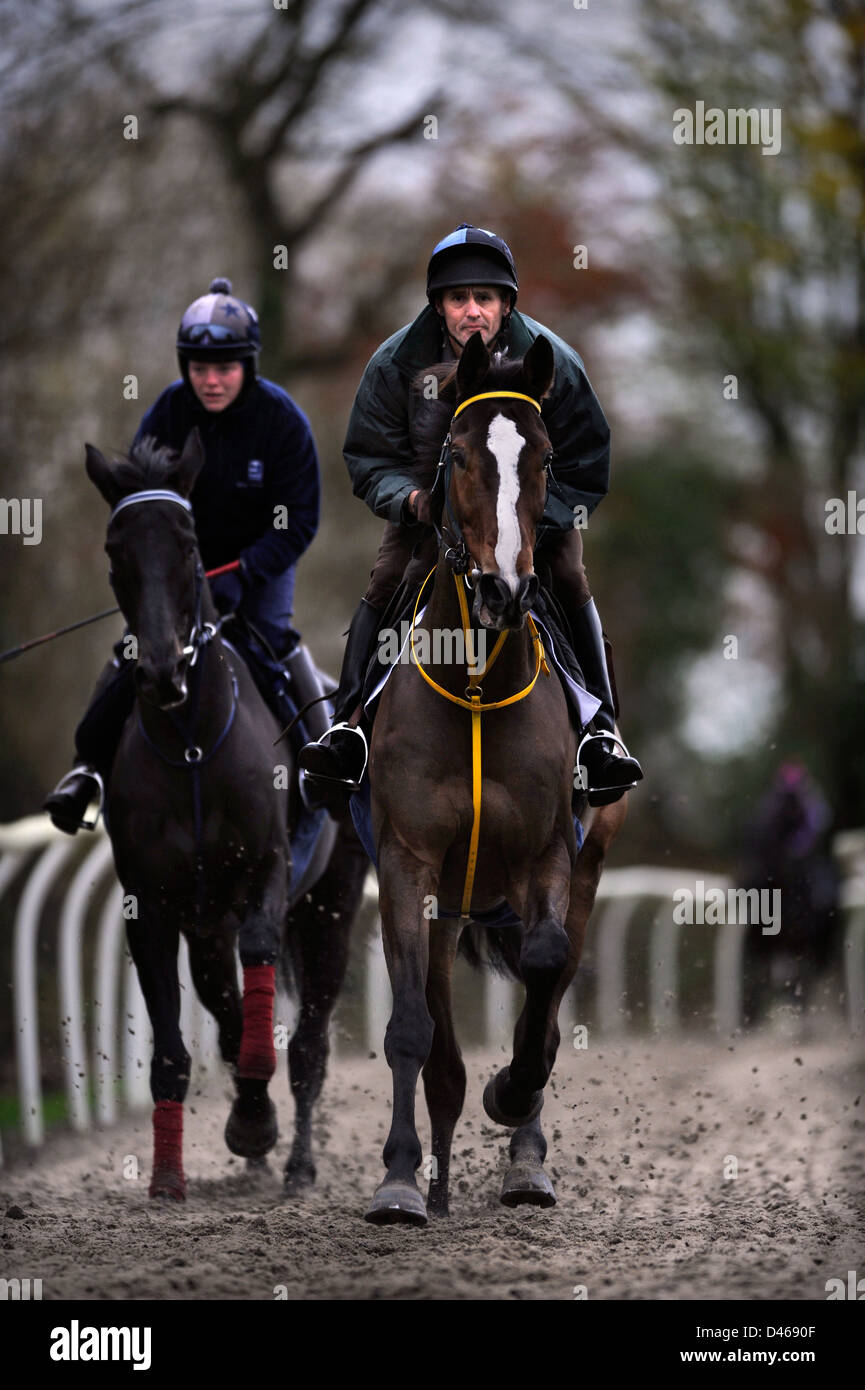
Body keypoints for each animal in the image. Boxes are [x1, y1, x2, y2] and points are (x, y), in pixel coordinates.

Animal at [81, 430, 367, 1195]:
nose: (158, 670)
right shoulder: (152, 904)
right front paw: (172, 1175)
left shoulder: (267, 868)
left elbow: (261, 959)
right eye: (115, 550)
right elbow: (180, 1045)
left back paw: (296, 1163)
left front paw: (259, 1113)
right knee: (226, 1002)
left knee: (311, 1044)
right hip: (207, 926)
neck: (191, 745)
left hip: (331, 906)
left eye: (187, 546)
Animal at [367, 330, 631, 1223]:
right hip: (448, 897)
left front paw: (511, 1097)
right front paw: (399, 1180)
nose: (502, 589)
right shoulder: (406, 860)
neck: (478, 682)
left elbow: (545, 975)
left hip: (581, 862)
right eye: (455, 454)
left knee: (547, 991)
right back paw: (437, 1177)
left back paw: (523, 1160)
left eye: (545, 456)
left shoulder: (546, 853)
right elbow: (411, 1029)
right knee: (438, 1042)